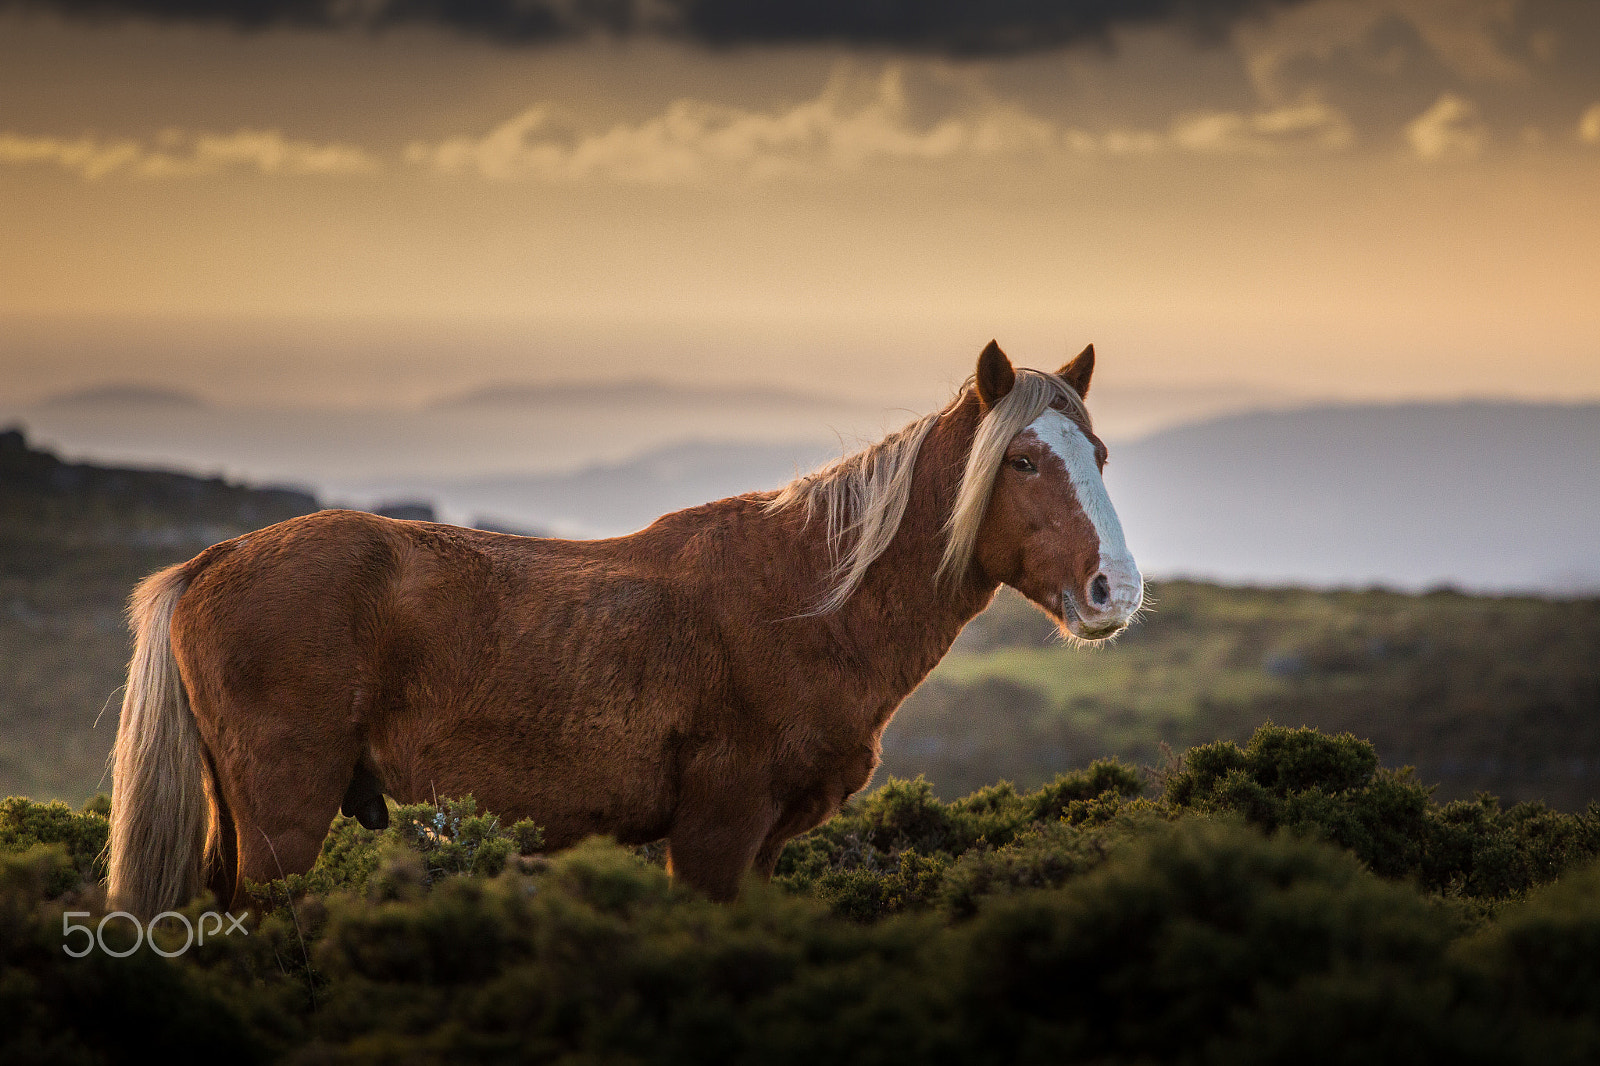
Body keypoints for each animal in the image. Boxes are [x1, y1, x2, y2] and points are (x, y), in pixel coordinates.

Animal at [105, 340, 1143, 917]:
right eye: (1021, 460)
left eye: (1097, 454)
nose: (1116, 591)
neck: (807, 600)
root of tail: (208, 565)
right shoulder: (716, 832)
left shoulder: (764, 845)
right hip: (284, 817)